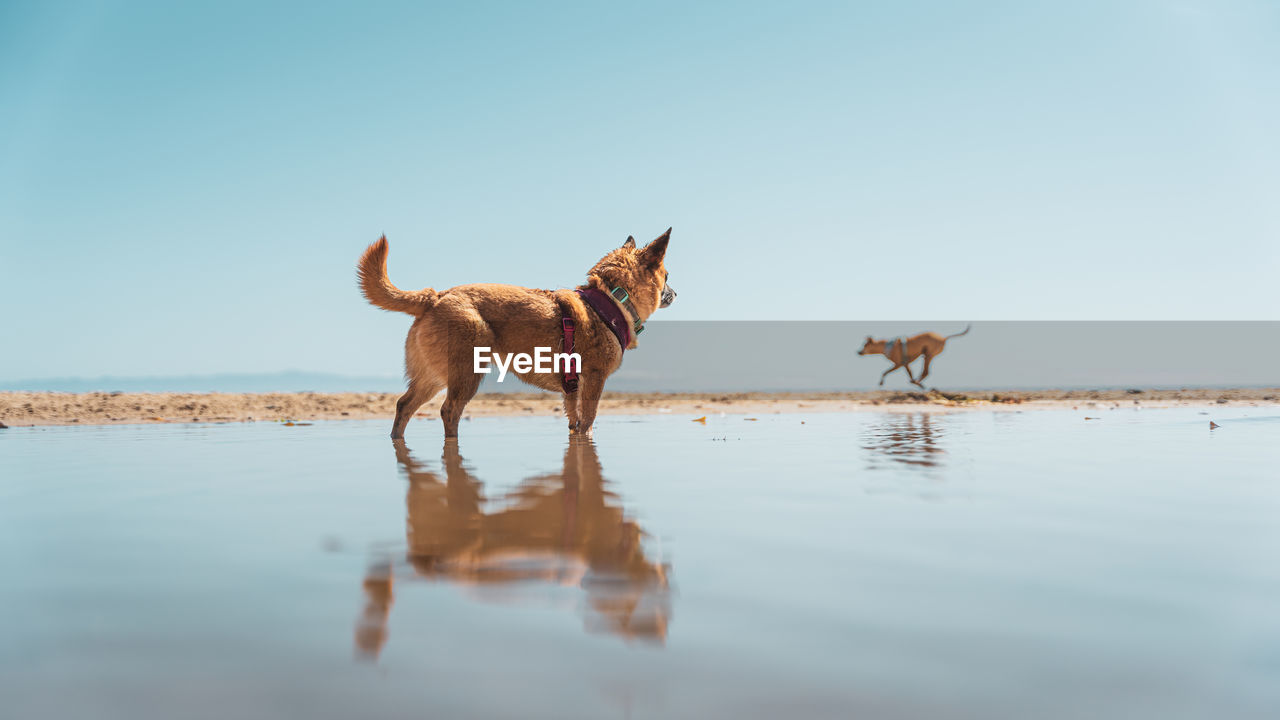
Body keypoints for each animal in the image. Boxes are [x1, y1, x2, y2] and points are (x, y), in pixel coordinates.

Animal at [350, 228, 670, 438]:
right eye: (667, 276)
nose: (676, 293)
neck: (611, 297)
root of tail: (435, 296)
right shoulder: (594, 379)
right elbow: (588, 422)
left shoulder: (572, 389)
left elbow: (574, 422)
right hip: (466, 374)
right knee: (449, 411)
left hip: (431, 377)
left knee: (404, 405)